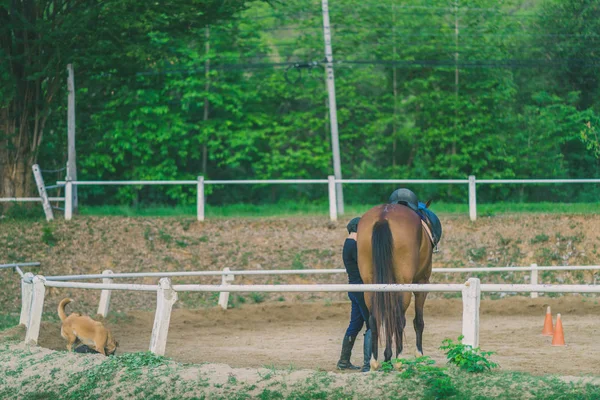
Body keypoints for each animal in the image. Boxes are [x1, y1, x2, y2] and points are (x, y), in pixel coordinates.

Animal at [356, 205, 432, 370]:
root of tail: (383, 216)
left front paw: (387, 357)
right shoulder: (421, 283)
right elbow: (418, 321)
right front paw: (419, 355)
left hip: (370, 286)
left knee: (375, 319)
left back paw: (375, 361)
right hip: (403, 285)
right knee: (398, 319)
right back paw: (399, 360)